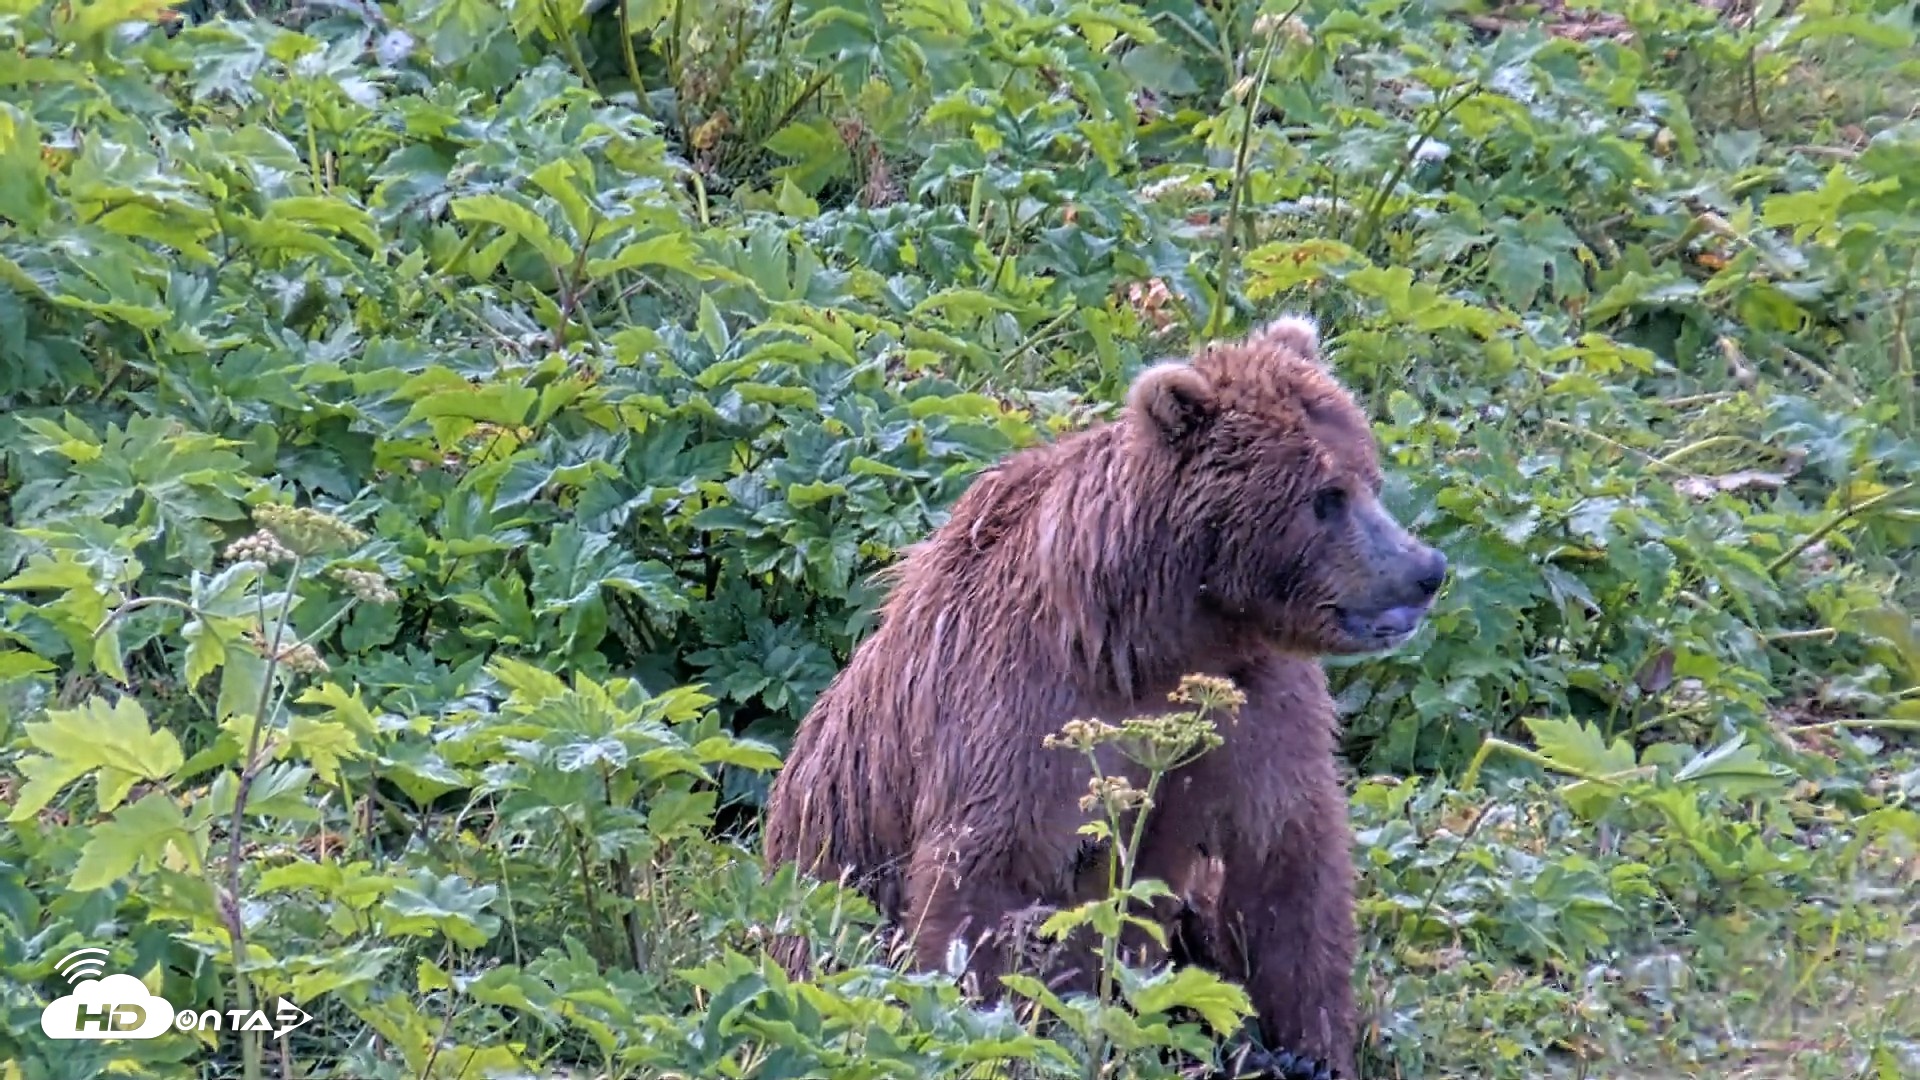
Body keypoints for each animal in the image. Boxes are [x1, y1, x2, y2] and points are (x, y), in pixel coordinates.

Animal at [761, 315, 1449, 1078]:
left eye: (1369, 476)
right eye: (1325, 496)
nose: (1426, 570)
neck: (1162, 637)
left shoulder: (1258, 708)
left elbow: (1285, 868)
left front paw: (1312, 1051)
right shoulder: (1024, 708)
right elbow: (985, 884)